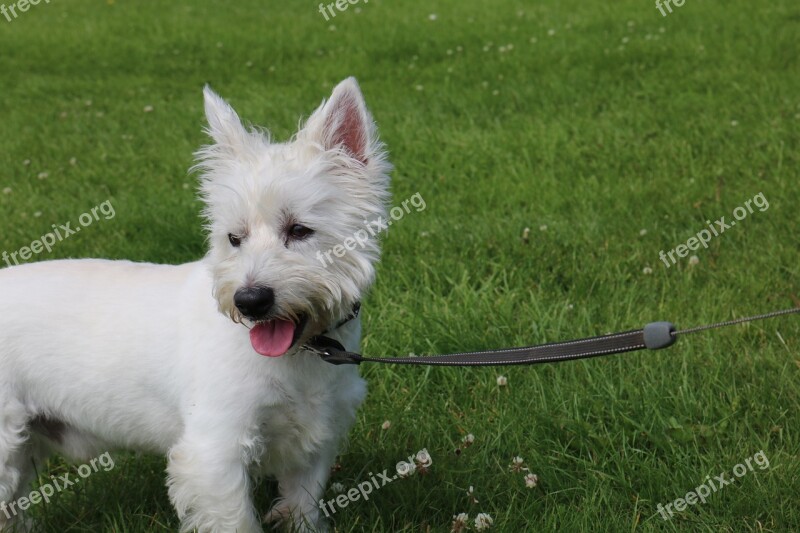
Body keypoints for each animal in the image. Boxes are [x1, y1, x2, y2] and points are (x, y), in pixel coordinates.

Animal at [0, 76, 390, 532]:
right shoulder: (214, 451)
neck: (302, 356)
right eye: (233, 238)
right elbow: (236, 519)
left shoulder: (314, 440)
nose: (250, 301)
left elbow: (303, 507)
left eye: (300, 230)